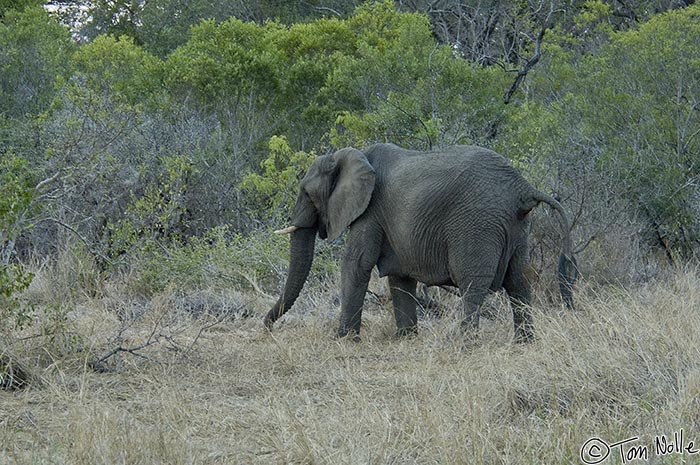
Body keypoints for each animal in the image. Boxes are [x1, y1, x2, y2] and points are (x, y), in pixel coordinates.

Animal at [262, 143, 576, 342]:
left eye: (307, 193)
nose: (266, 327)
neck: (349, 154)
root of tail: (522, 187)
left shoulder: (370, 212)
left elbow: (356, 264)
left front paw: (343, 340)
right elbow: (400, 277)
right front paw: (406, 338)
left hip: (477, 224)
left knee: (473, 283)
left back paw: (463, 344)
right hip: (516, 226)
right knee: (519, 281)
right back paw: (525, 342)